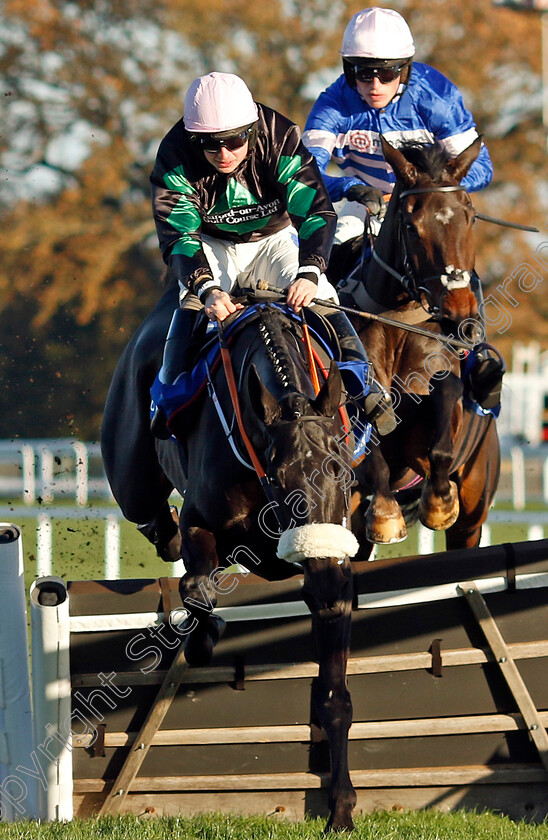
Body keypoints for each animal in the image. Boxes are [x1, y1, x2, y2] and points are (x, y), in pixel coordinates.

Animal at [154, 300, 360, 828]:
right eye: (278, 473)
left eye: (340, 468)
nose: (323, 573)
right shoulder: (199, 522)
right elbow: (197, 590)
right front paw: (204, 638)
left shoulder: (333, 569)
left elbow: (335, 694)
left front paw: (341, 807)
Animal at [340, 137, 504, 556]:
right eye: (413, 227)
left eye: (470, 216)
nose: (460, 311)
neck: (398, 326)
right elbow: (373, 455)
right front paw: (386, 514)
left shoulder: (440, 386)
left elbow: (442, 426)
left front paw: (439, 502)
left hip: (474, 514)